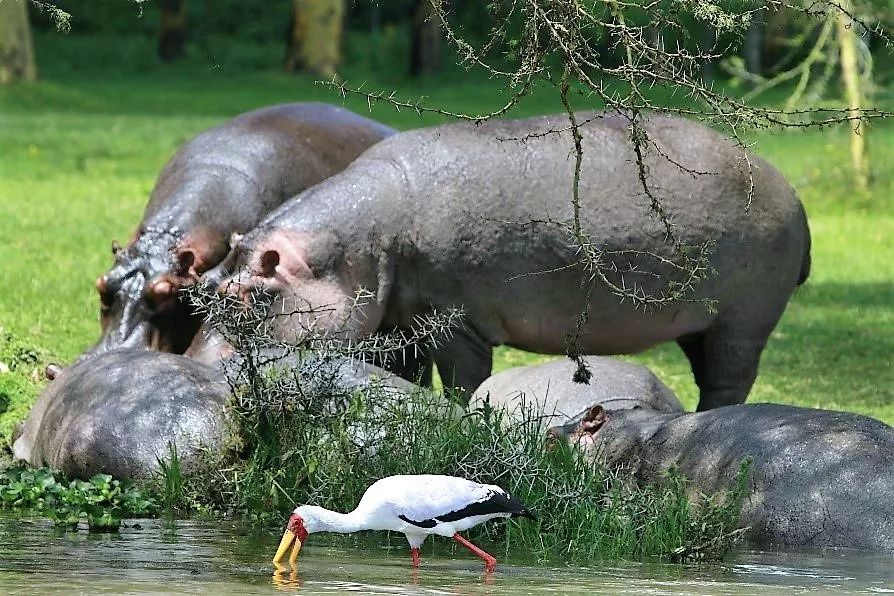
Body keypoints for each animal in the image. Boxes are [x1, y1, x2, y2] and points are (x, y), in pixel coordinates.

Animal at [189, 110, 812, 410]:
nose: (191, 367)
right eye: (211, 282)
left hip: (746, 318)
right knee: (710, 372)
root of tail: (790, 190)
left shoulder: (455, 321)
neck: (358, 246)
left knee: (730, 379)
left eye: (253, 295)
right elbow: (406, 373)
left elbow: (463, 381)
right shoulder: (400, 321)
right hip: (700, 322)